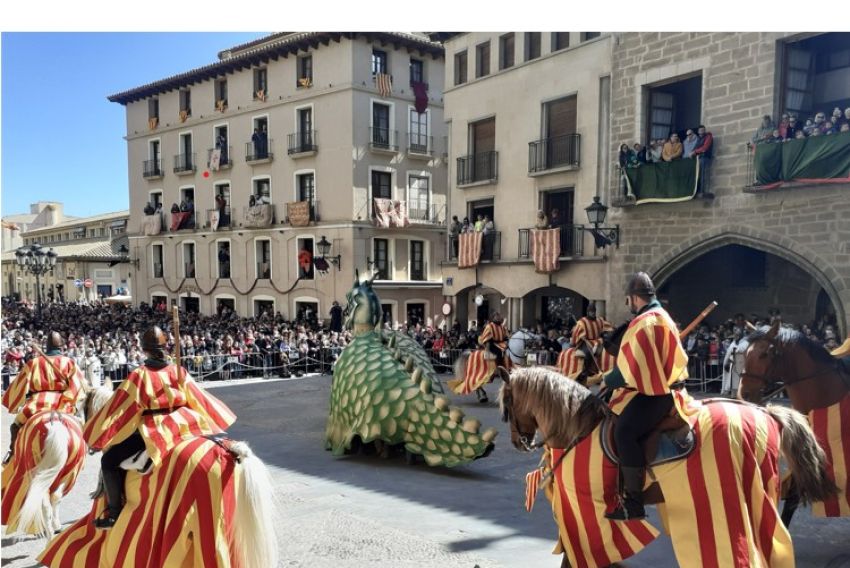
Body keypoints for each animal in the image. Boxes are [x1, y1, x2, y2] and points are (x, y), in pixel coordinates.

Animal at [496, 366, 836, 564]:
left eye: (508, 402)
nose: (518, 441)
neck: (578, 427)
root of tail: (767, 413)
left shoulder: (584, 508)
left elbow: (579, 553)